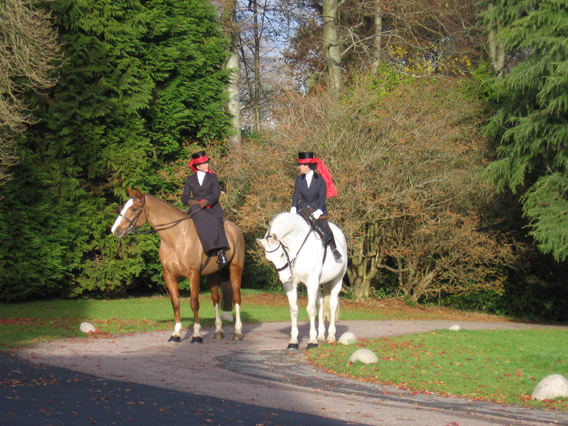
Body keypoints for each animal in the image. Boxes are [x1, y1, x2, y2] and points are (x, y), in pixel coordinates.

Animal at [111, 188, 244, 342]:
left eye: (133, 208)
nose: (115, 230)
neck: (176, 238)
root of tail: (235, 229)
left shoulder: (193, 274)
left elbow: (194, 303)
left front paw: (196, 334)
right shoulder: (169, 275)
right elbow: (175, 303)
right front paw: (176, 333)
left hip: (235, 270)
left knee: (237, 298)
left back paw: (237, 332)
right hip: (212, 274)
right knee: (215, 299)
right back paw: (218, 331)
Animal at [256, 213, 346, 350]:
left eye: (282, 254)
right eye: (269, 259)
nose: (284, 278)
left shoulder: (311, 283)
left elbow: (310, 309)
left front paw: (312, 341)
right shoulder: (291, 285)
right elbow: (294, 310)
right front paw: (293, 341)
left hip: (337, 280)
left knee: (332, 305)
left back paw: (331, 336)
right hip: (319, 284)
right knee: (320, 304)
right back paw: (321, 336)